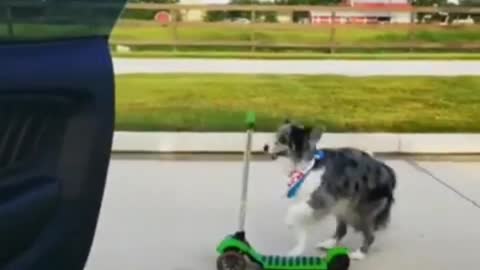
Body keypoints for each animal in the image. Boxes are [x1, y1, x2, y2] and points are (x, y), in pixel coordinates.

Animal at [264, 119, 396, 260]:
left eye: (282, 139)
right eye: (275, 134)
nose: (264, 147)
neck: (307, 166)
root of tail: (388, 171)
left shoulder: (322, 200)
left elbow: (292, 211)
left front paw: (289, 222)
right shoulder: (310, 203)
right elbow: (300, 226)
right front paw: (297, 250)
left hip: (360, 211)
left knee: (370, 235)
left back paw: (360, 253)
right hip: (342, 206)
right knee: (342, 229)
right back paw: (329, 243)